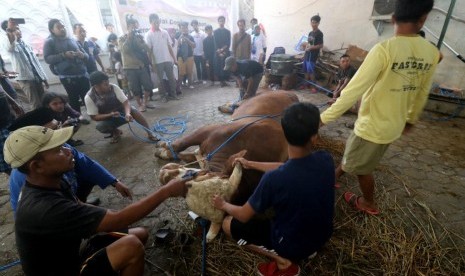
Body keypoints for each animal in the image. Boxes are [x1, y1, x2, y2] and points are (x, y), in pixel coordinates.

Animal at [154, 91, 300, 242]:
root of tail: (291, 94)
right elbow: (182, 143)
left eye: (184, 190)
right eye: (201, 174)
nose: (164, 174)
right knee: (238, 103)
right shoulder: (210, 129)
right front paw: (164, 149)